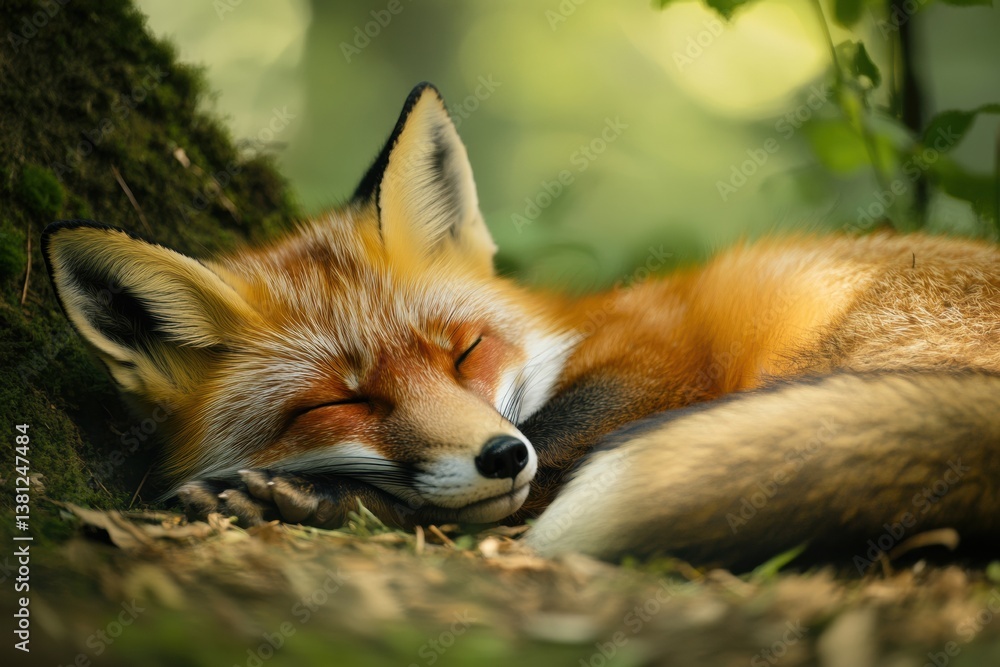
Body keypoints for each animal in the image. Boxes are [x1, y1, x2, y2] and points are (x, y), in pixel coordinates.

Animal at [43, 83, 1000, 570]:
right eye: (335, 404)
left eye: (465, 350)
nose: (500, 455)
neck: (561, 335)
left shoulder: (659, 354)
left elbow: (542, 463)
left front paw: (321, 500)